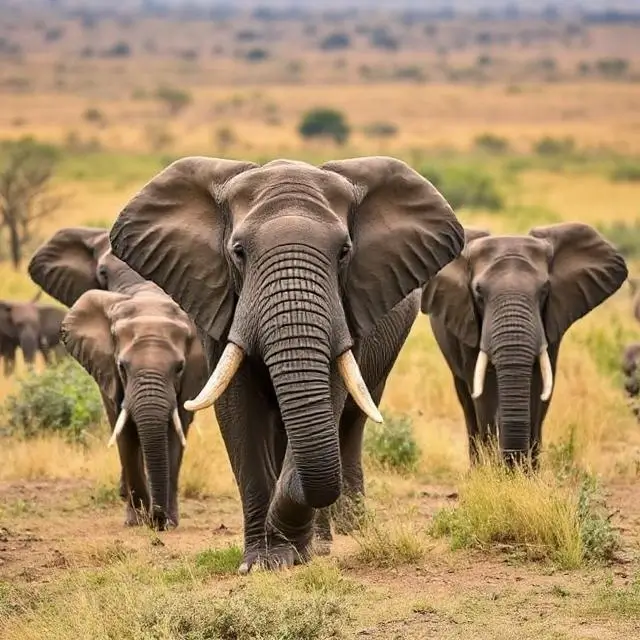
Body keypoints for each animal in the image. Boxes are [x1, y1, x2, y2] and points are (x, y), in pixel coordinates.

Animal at [28, 227, 208, 529]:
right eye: (122, 366)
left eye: (179, 368)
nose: (156, 519)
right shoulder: (107, 369)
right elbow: (123, 431)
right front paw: (137, 520)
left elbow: (175, 431)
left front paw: (168, 522)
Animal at [107, 155, 464, 571]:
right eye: (238, 252)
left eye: (344, 251)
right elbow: (238, 410)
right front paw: (260, 562)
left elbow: (326, 401)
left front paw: (290, 553)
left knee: (349, 424)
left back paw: (320, 545)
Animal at [422, 223, 628, 466]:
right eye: (478, 292)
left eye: (545, 290)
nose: (512, 464)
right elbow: (484, 394)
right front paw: (496, 472)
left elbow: (539, 389)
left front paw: (527, 472)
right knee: (466, 401)